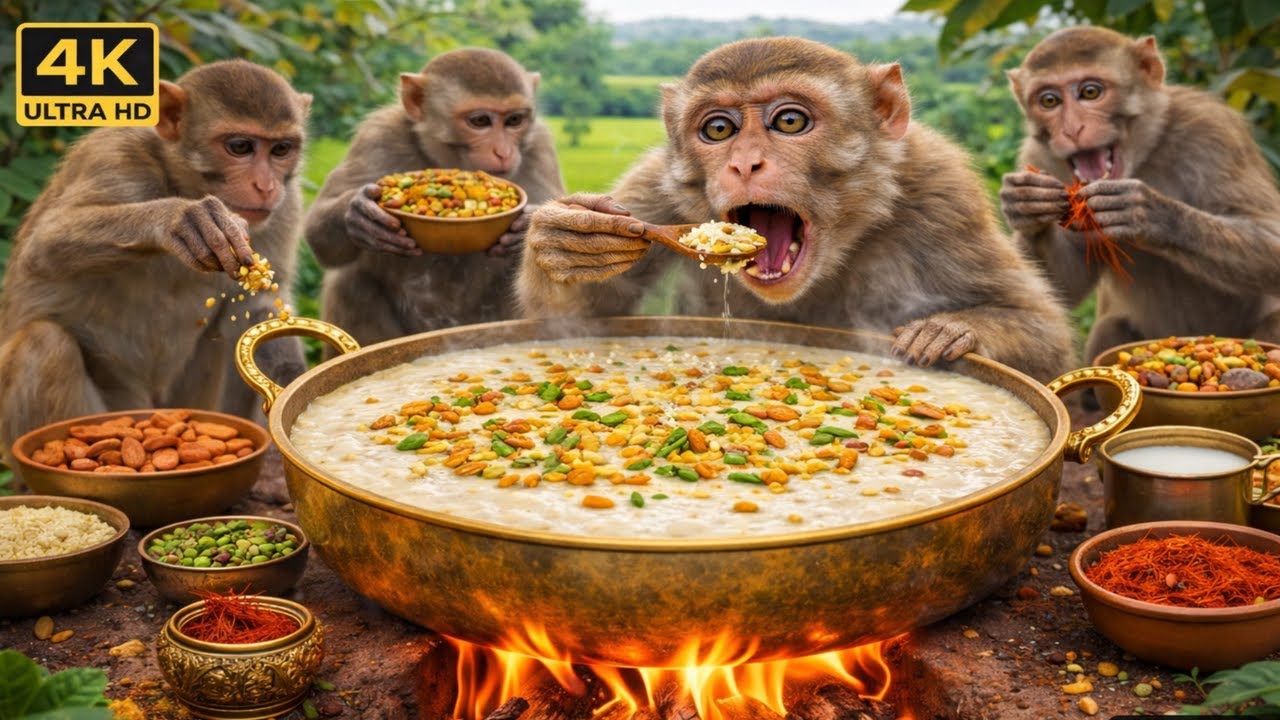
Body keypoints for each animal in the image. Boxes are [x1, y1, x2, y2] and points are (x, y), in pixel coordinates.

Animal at [0, 59, 310, 467]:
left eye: (281, 150)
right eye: (240, 147)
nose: (266, 187)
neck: (179, 179)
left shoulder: (286, 207)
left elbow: (259, 308)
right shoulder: (116, 157)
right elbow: (44, 243)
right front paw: (180, 219)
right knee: (44, 341)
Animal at [304, 47, 565, 349]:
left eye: (514, 120)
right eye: (480, 121)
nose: (503, 152)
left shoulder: (539, 146)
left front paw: (525, 225)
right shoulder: (378, 135)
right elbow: (319, 238)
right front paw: (360, 216)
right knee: (350, 280)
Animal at [514, 37, 1076, 384]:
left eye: (789, 121)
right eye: (718, 130)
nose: (744, 163)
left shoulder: (942, 194)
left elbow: (1044, 334)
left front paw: (950, 330)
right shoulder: (655, 194)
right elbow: (576, 319)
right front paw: (568, 242)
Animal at [1001, 26, 1280, 365]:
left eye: (1090, 92)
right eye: (1049, 101)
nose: (1071, 129)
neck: (1143, 156)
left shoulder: (1214, 131)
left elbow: (1273, 238)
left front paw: (1149, 213)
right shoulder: (1038, 156)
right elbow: (1055, 294)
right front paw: (1027, 206)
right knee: (1110, 328)